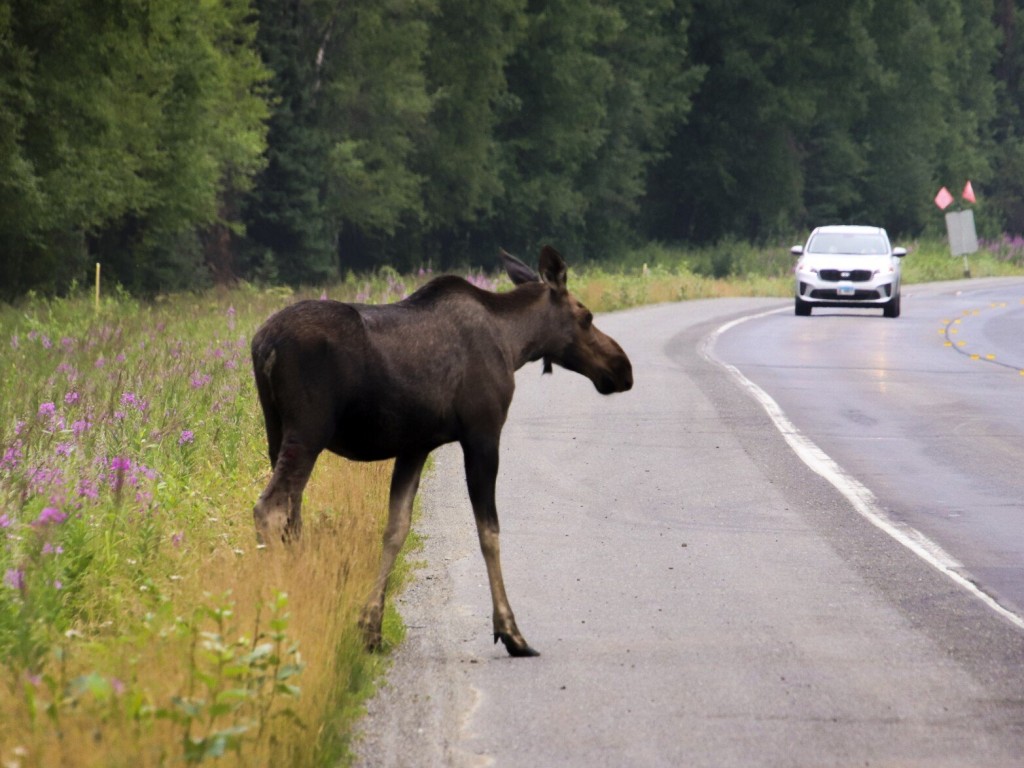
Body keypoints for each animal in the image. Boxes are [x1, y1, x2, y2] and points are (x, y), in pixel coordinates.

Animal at [249, 244, 630, 655]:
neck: (514, 344)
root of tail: (262, 345)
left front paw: (370, 628)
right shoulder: (482, 433)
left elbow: (396, 529)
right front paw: (510, 631)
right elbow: (489, 532)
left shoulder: (415, 446)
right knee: (270, 509)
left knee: (292, 515)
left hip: (277, 432)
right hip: (308, 431)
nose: (623, 368)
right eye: (586, 316)